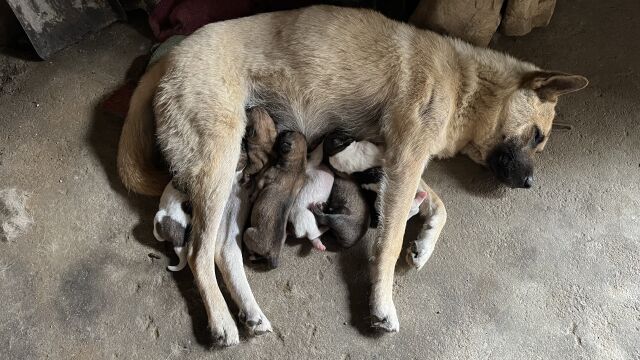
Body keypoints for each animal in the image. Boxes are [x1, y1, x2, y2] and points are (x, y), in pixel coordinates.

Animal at [242, 131, 308, 268]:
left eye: (288, 133)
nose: (281, 131)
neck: (298, 163)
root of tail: (273, 253)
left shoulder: (264, 179)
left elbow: (257, 187)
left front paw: (252, 197)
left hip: (248, 233)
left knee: (252, 252)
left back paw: (248, 254)